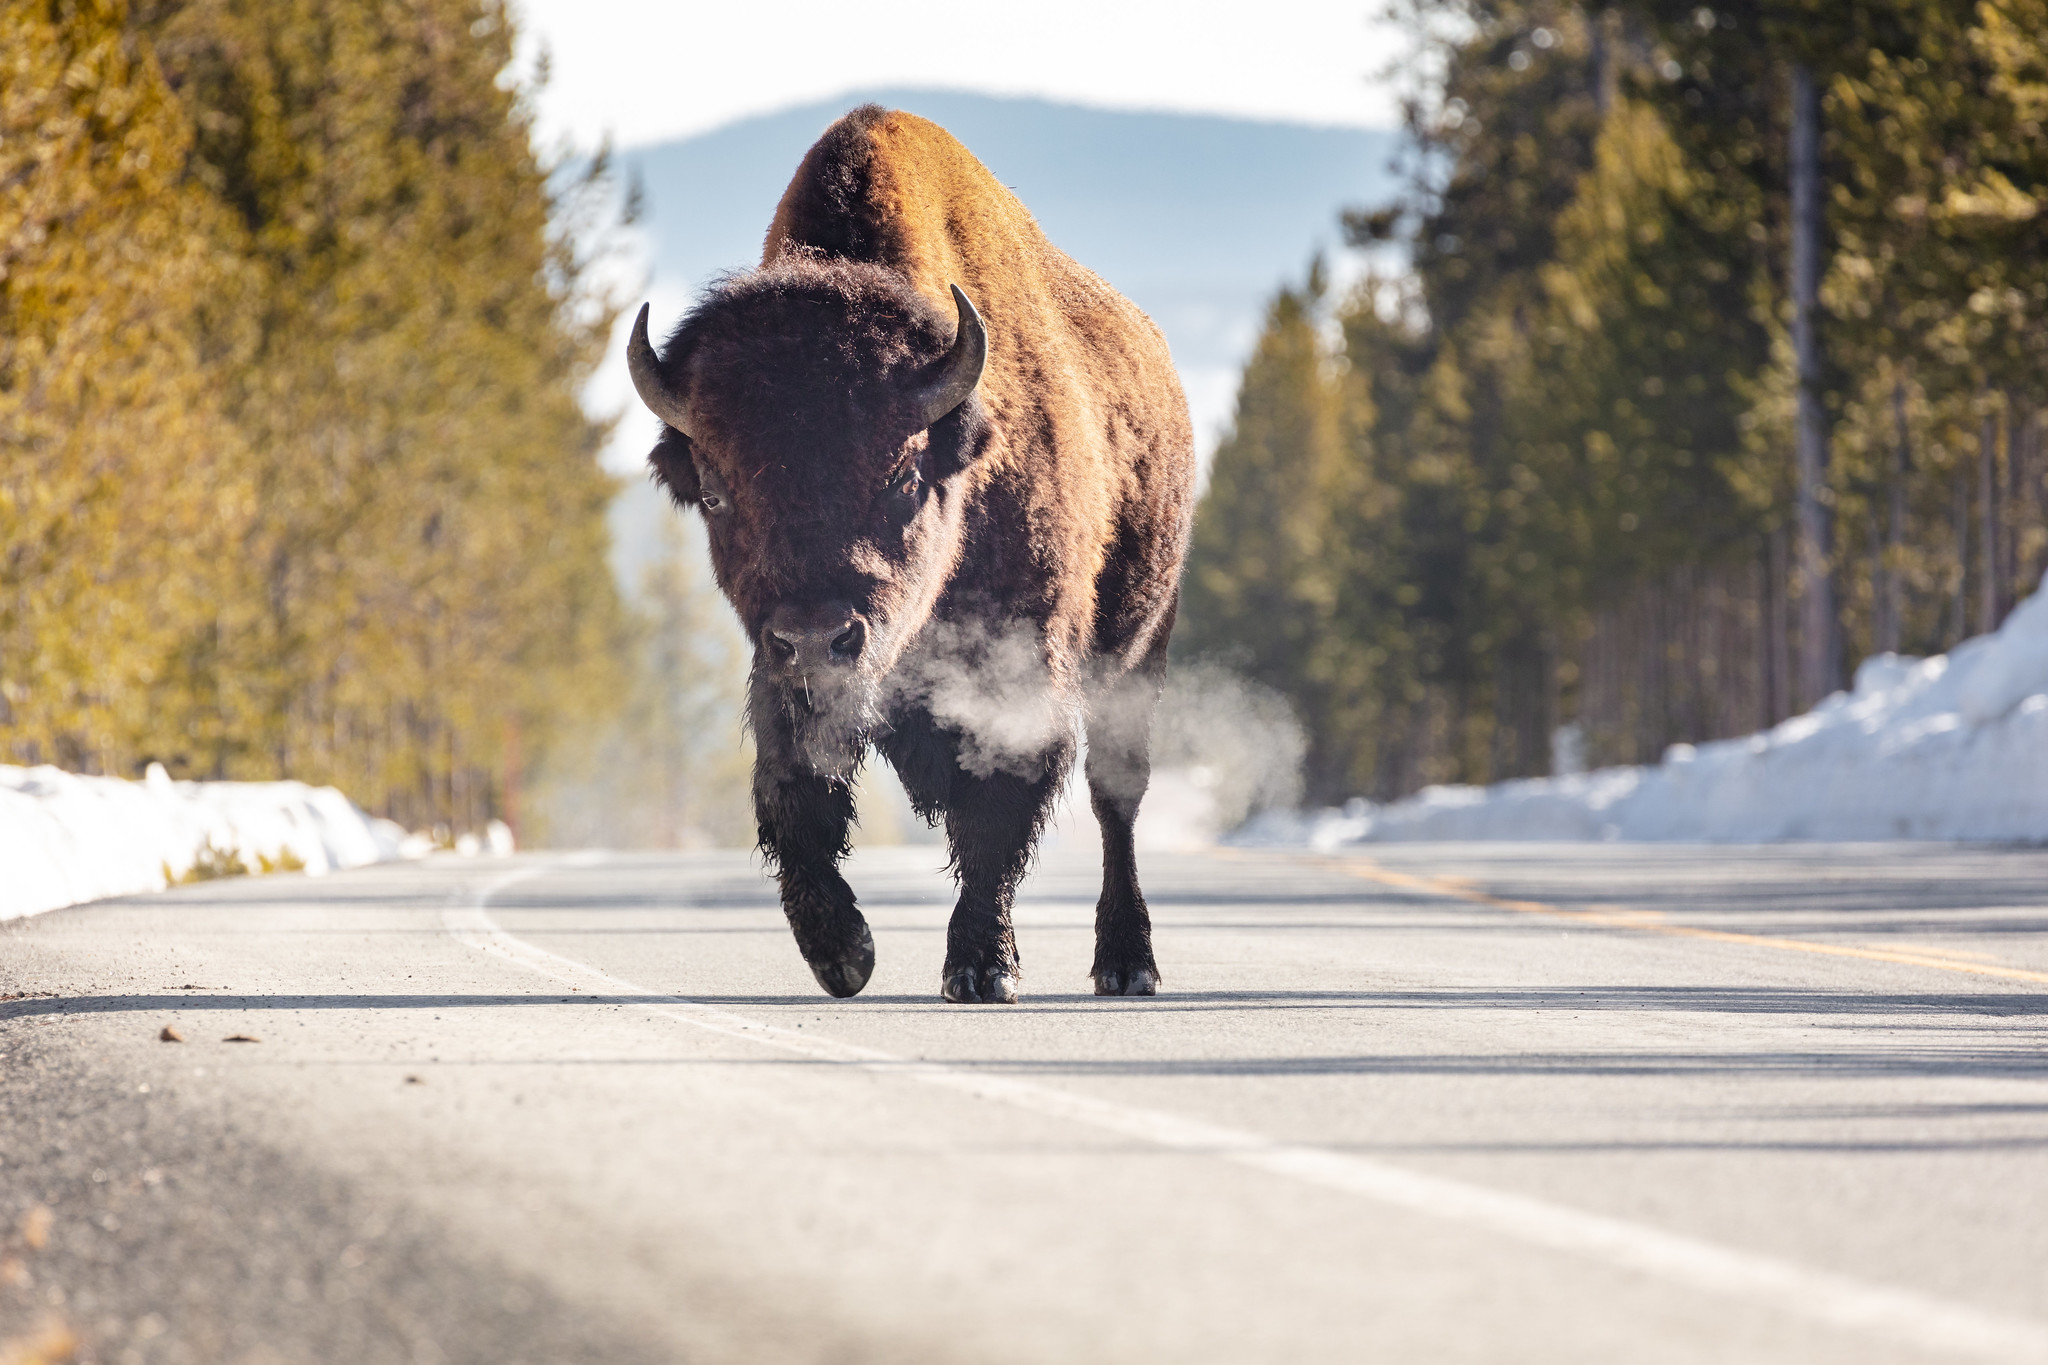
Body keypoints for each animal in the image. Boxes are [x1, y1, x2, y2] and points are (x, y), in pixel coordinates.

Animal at [630, 104, 1196, 1002]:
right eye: (715, 492)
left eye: (901, 473)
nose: (818, 637)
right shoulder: (782, 675)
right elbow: (795, 790)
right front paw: (841, 950)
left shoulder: (1017, 669)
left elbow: (998, 803)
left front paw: (980, 966)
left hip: (1139, 646)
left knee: (1119, 797)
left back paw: (1126, 960)